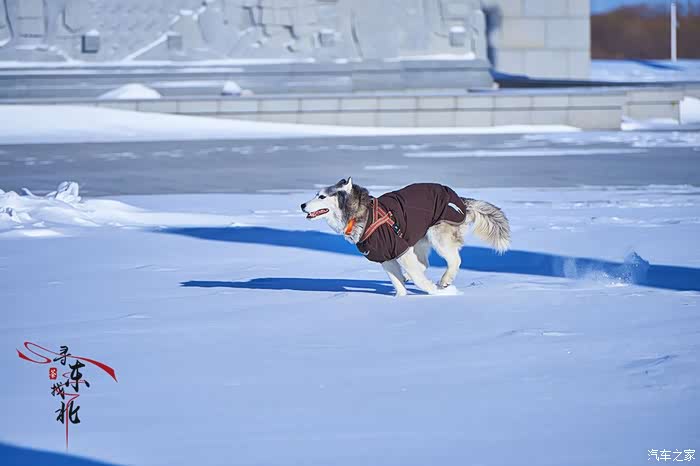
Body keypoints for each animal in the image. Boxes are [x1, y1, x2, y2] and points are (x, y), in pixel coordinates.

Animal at [301, 178, 511, 296]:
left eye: (322, 197)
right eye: (316, 195)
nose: (302, 205)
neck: (362, 215)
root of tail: (461, 201)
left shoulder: (399, 248)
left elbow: (419, 278)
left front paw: (436, 293)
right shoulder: (385, 255)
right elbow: (398, 281)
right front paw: (400, 299)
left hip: (438, 237)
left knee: (454, 260)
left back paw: (444, 281)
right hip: (418, 238)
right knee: (424, 263)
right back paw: (410, 276)